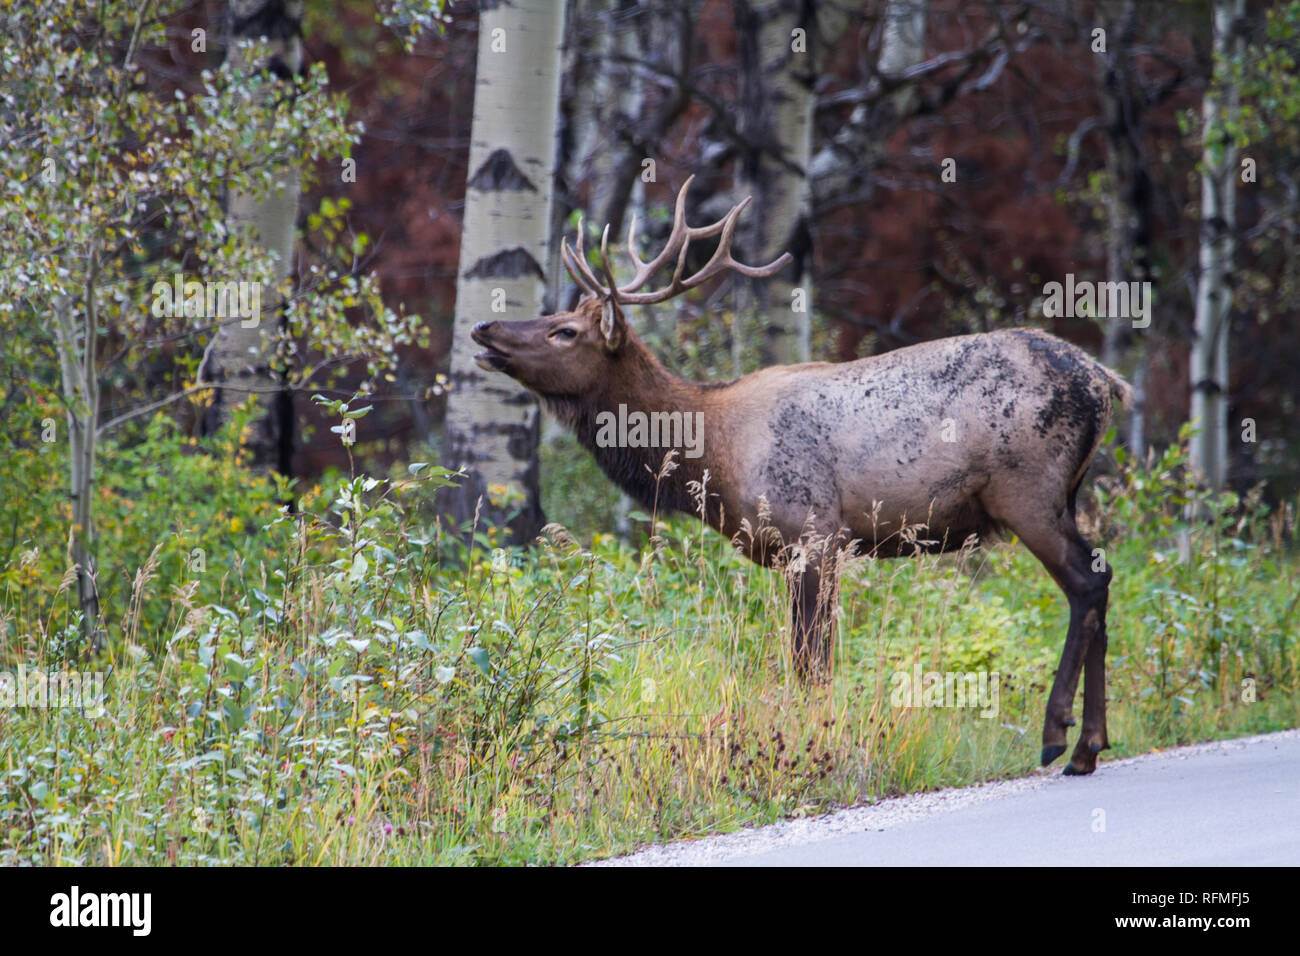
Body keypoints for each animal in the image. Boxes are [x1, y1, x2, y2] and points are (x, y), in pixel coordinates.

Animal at [473, 178, 1133, 780]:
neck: (713, 453)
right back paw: (1092, 746)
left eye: (565, 331)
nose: (484, 329)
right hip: (1061, 494)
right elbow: (811, 660)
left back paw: (1062, 739)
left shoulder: (812, 533)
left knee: (1087, 583)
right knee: (1100, 579)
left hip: (1028, 490)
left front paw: (812, 746)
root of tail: (1107, 383)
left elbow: (810, 663)